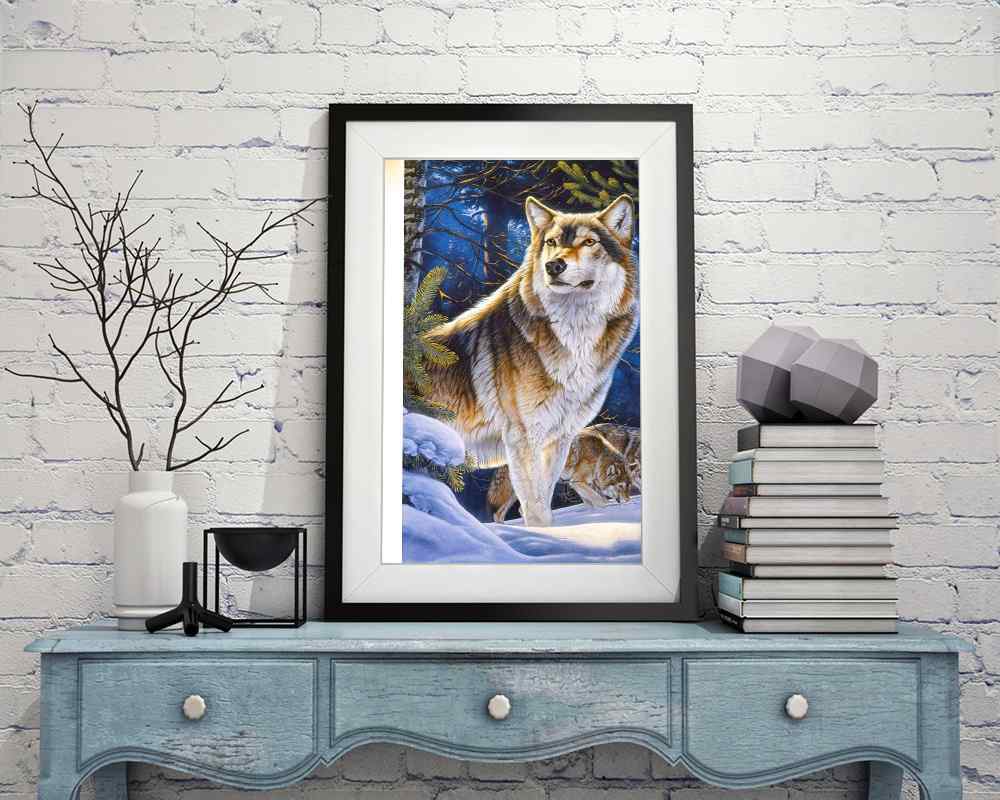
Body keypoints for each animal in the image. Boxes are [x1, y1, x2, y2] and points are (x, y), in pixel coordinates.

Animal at [487, 426, 633, 523]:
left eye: (628, 486)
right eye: (620, 486)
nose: (628, 501)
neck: (599, 457)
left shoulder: (580, 484)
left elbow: (591, 502)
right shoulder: (578, 482)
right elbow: (602, 501)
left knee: (503, 513)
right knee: (519, 510)